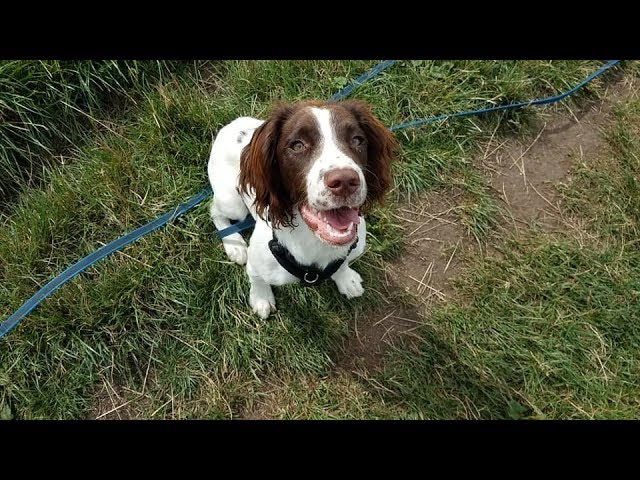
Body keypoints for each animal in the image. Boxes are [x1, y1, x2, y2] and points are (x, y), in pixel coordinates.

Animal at [208, 100, 398, 318]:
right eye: (297, 145)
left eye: (357, 140)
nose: (345, 181)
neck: (315, 241)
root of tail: (234, 124)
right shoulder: (256, 264)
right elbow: (256, 279)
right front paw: (261, 299)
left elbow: (342, 264)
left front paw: (346, 279)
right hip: (233, 203)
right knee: (215, 210)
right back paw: (235, 245)